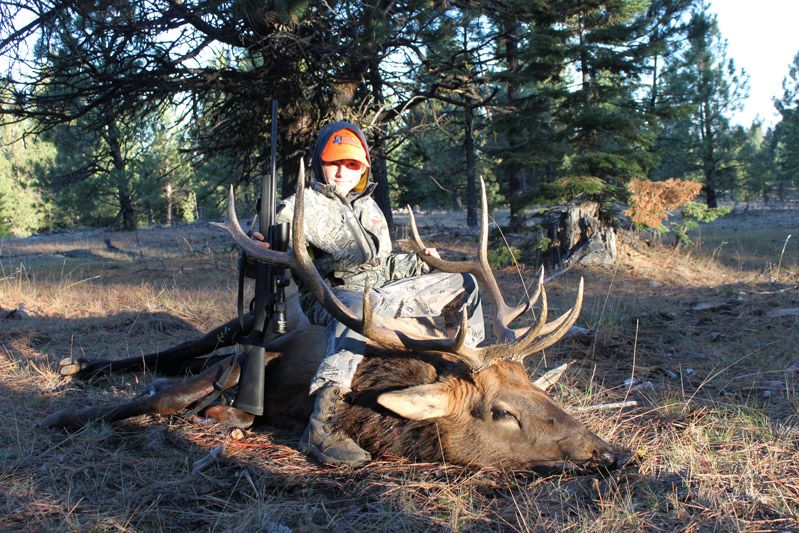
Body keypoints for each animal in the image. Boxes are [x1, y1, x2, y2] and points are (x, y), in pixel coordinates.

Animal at [46, 166, 617, 472]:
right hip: (232, 331)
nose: (607, 451)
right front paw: (67, 416)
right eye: (502, 412)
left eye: (541, 392)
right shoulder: (257, 357)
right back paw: (80, 366)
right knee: (180, 351)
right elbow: (161, 399)